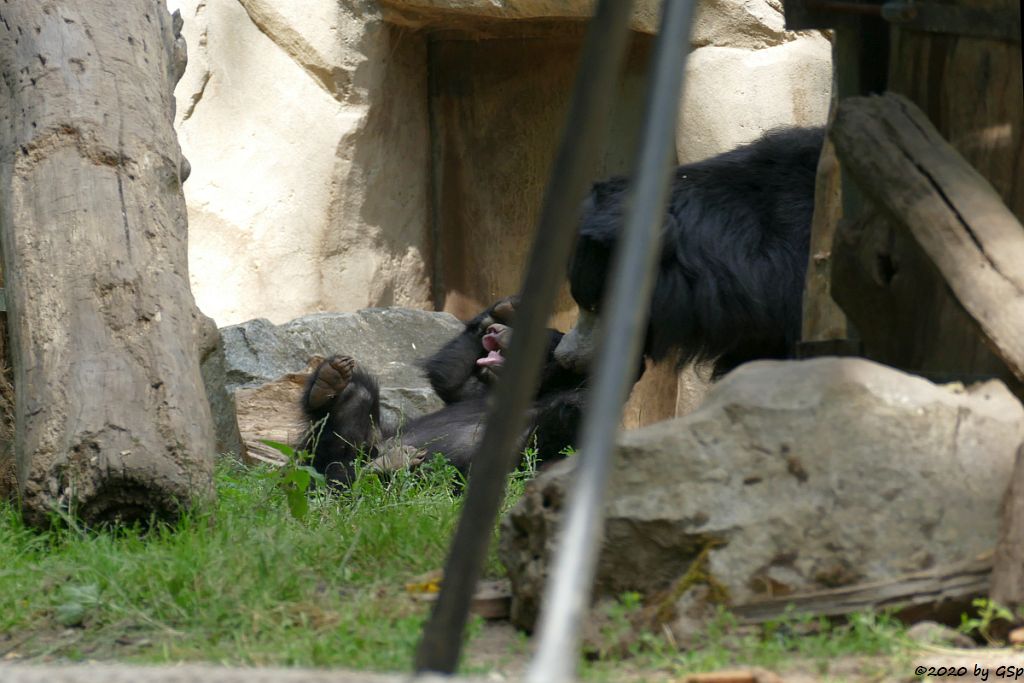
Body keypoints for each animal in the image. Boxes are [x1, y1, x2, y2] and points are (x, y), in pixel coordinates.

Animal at [299, 296, 585, 485]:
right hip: (357, 442)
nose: (497, 332)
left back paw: (387, 466)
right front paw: (499, 314)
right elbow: (452, 382)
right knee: (357, 398)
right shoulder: (481, 390)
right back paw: (330, 381)